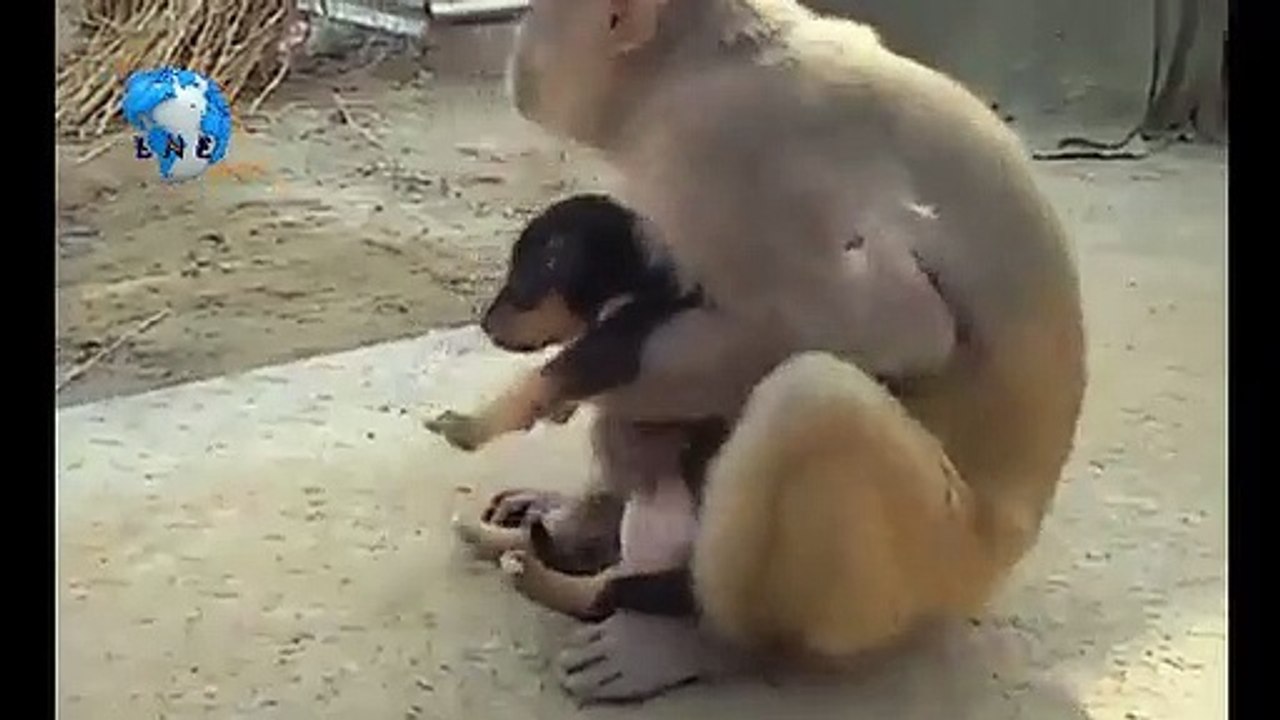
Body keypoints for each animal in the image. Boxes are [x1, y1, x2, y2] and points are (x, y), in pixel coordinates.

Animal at [462, 0, 1088, 703]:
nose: (517, 49)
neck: (688, 68)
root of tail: (1001, 559)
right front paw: (580, 495)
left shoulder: (718, 152)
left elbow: (906, 329)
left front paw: (526, 401)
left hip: (936, 569)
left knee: (810, 400)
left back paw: (698, 638)